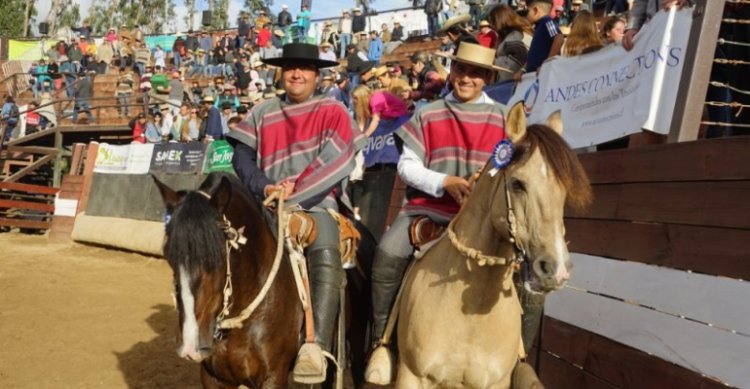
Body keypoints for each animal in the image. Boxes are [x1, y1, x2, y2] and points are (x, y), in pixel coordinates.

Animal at [155, 174, 376, 388]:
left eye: (218, 254)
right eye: (169, 254)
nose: (190, 345)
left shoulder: (273, 377)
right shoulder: (214, 378)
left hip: (357, 340)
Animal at [396, 101, 596, 386]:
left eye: (564, 191)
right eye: (517, 183)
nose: (556, 270)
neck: (471, 315)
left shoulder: (496, 383)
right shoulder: (411, 375)